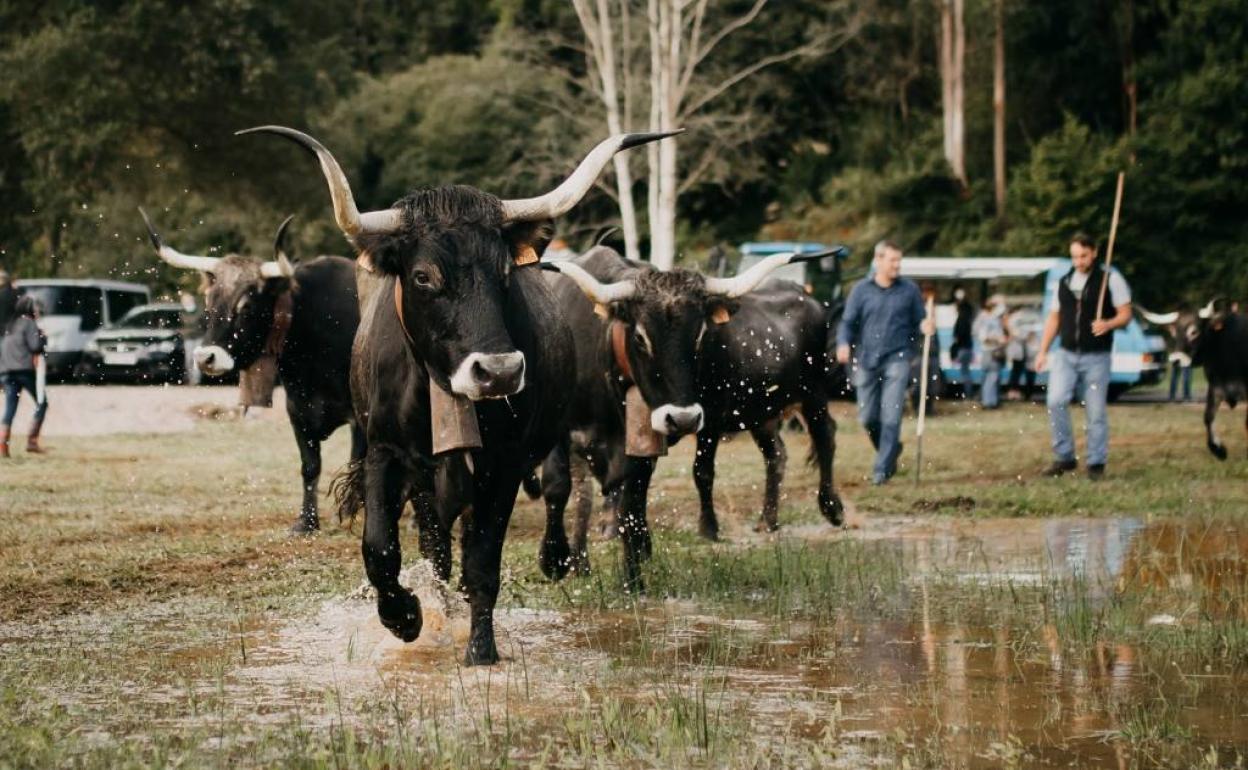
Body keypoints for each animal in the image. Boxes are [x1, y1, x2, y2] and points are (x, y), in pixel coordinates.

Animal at [142, 209, 364, 534]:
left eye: (246, 307)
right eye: (210, 303)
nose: (205, 358)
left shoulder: (362, 417)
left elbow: (359, 466)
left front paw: (351, 514)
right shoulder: (298, 411)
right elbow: (310, 466)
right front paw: (306, 522)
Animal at [238, 124, 678, 658]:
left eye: (506, 273)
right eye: (424, 276)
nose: (499, 372)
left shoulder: (502, 465)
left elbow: (483, 563)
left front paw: (480, 649)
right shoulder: (384, 452)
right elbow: (380, 548)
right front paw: (404, 617)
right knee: (435, 546)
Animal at [539, 249, 848, 586]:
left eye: (700, 336)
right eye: (640, 338)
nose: (682, 419)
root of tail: (807, 298)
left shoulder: (698, 422)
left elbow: (660, 489)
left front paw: (635, 575)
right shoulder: (564, 433)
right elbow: (564, 489)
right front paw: (559, 559)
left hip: (813, 392)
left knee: (826, 436)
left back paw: (832, 508)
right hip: (763, 414)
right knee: (777, 454)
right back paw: (768, 520)